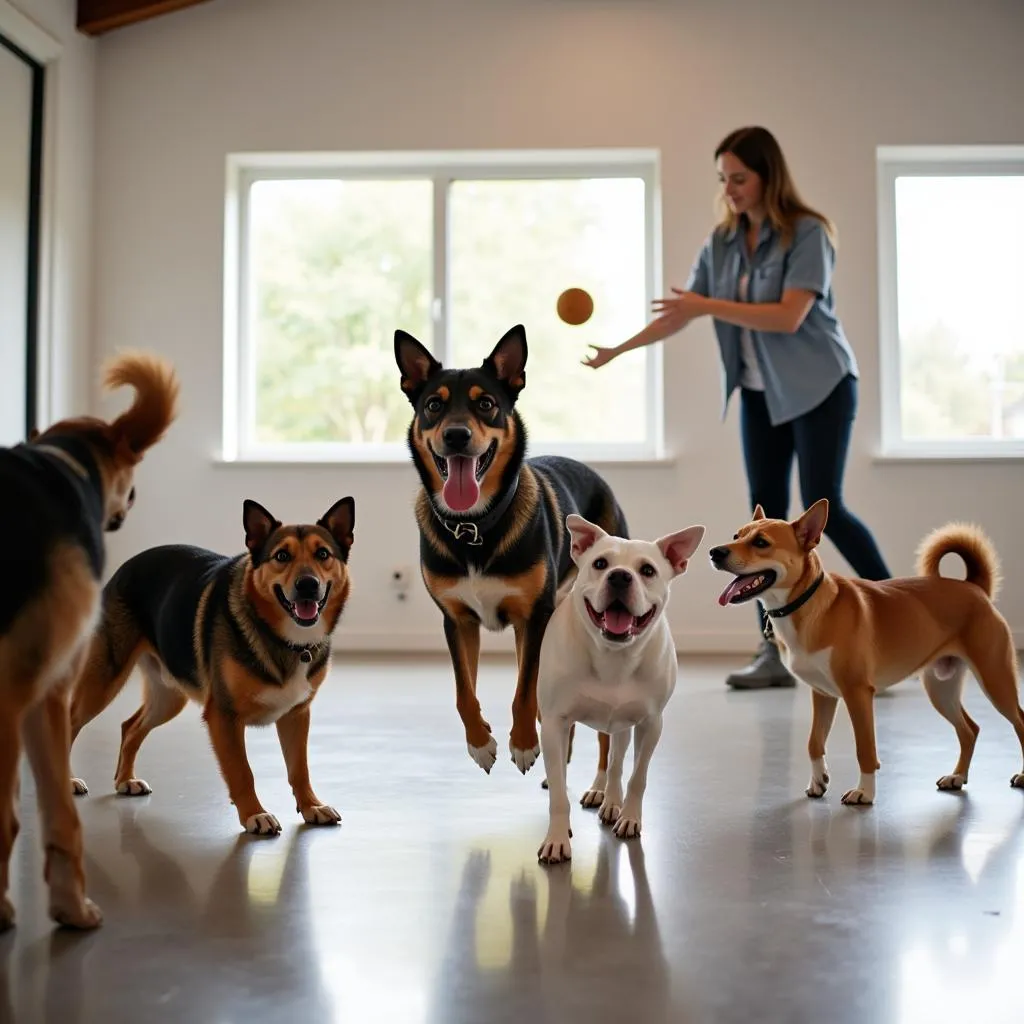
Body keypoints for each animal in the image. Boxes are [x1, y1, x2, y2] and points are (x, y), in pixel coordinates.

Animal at [0, 356, 180, 933]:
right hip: (95, 677)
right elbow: (57, 821)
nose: (132, 499)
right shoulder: (41, 689)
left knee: (126, 727)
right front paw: (71, 906)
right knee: (85, 727)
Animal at [68, 495, 356, 839]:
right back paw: (67, 781)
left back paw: (125, 780)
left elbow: (299, 769)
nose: (308, 585)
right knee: (69, 725)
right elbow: (242, 771)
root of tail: (125, 568)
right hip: (102, 682)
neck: (283, 639)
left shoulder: (296, 716)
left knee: (130, 726)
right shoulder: (223, 716)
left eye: (323, 554)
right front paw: (254, 814)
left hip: (169, 696)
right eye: (281, 556)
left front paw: (311, 806)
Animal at [395, 323, 626, 786]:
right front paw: (480, 743)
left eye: (486, 404)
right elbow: (464, 691)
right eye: (433, 405)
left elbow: (524, 691)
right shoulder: (458, 621)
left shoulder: (533, 618)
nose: (457, 436)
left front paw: (522, 744)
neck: (474, 526)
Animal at [536, 512, 704, 864]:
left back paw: (610, 798)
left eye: (648, 570)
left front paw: (629, 816)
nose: (620, 577)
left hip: (624, 724)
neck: (613, 654)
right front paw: (557, 837)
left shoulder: (651, 724)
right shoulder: (555, 723)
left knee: (614, 762)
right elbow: (558, 789)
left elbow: (637, 776)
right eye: (600, 563)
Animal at [712, 501, 1024, 806]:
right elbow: (814, 742)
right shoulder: (823, 695)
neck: (808, 605)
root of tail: (975, 588)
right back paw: (957, 777)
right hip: (941, 689)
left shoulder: (858, 694)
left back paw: (1020, 775)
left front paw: (865, 793)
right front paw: (818, 781)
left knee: (1019, 722)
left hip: (995, 680)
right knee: (970, 730)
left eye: (761, 542)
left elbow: (865, 749)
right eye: (736, 535)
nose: (715, 552)